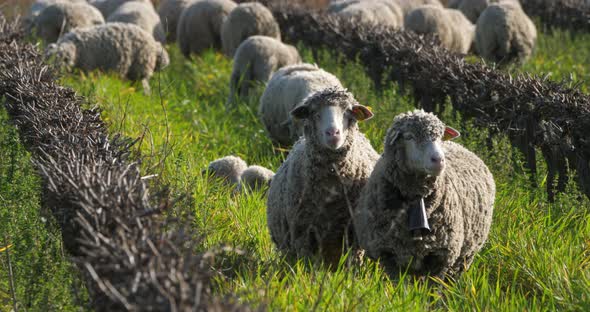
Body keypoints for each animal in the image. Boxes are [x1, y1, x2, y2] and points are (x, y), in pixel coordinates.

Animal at [354, 109, 498, 278]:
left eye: (440, 137)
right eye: (409, 137)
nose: (439, 160)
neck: (417, 198)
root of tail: (462, 146)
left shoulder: (441, 256)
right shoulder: (388, 254)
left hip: (464, 258)